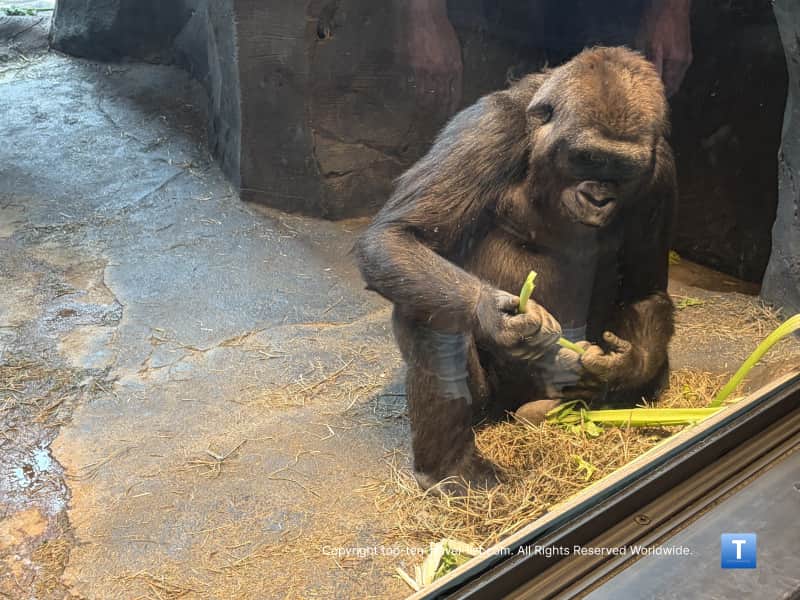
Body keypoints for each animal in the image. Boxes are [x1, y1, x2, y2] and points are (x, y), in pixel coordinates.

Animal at [355, 46, 676, 494]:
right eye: (588, 158)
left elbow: (643, 292)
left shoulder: (661, 171)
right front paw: (494, 314)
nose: (598, 198)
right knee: (425, 311)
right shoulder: (487, 129)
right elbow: (398, 237)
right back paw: (449, 468)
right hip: (488, 399)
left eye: (622, 169)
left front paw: (623, 366)